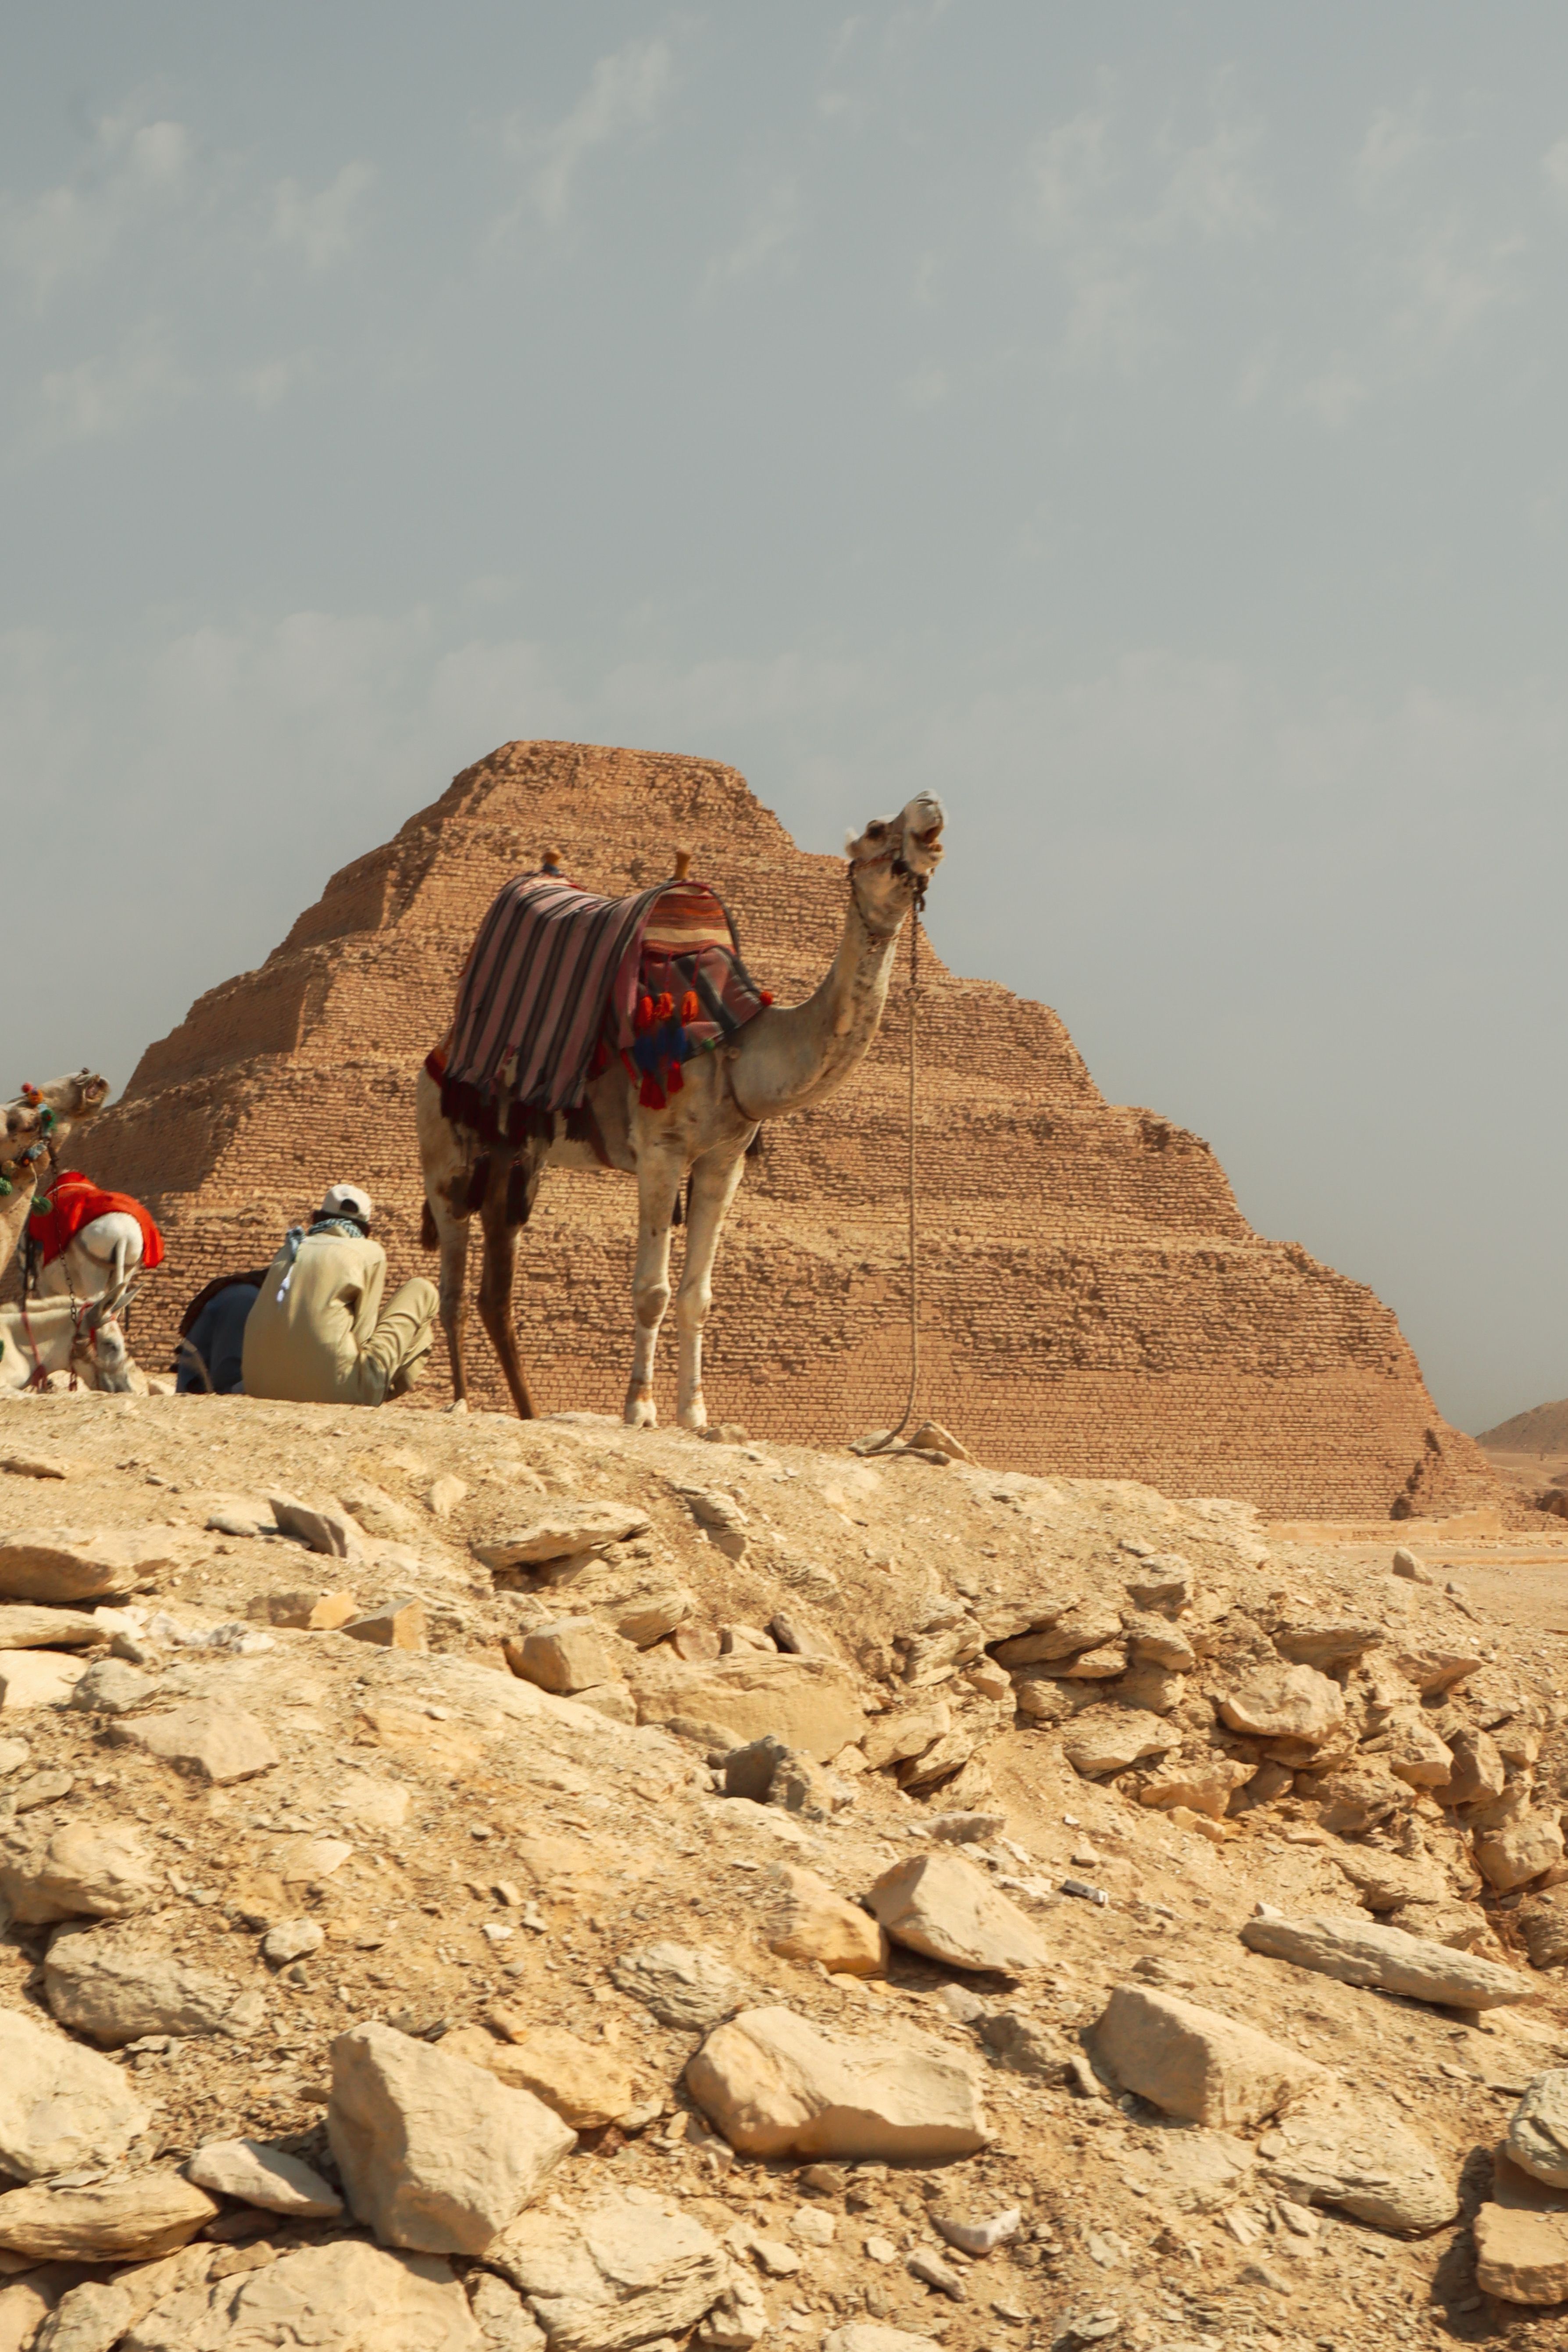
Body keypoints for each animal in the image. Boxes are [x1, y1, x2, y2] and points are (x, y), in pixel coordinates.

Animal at [416, 792, 945, 1426]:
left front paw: (694, 1415)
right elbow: (653, 1291)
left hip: (517, 1155)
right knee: (451, 1282)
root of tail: (442, 1047)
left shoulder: (725, 1158)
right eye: (874, 828)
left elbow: (698, 1295)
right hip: (445, 1146)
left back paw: (528, 1411)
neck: (739, 1043)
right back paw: (462, 1402)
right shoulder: (660, 1149)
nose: (930, 805)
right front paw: (639, 1409)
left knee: (495, 1286)